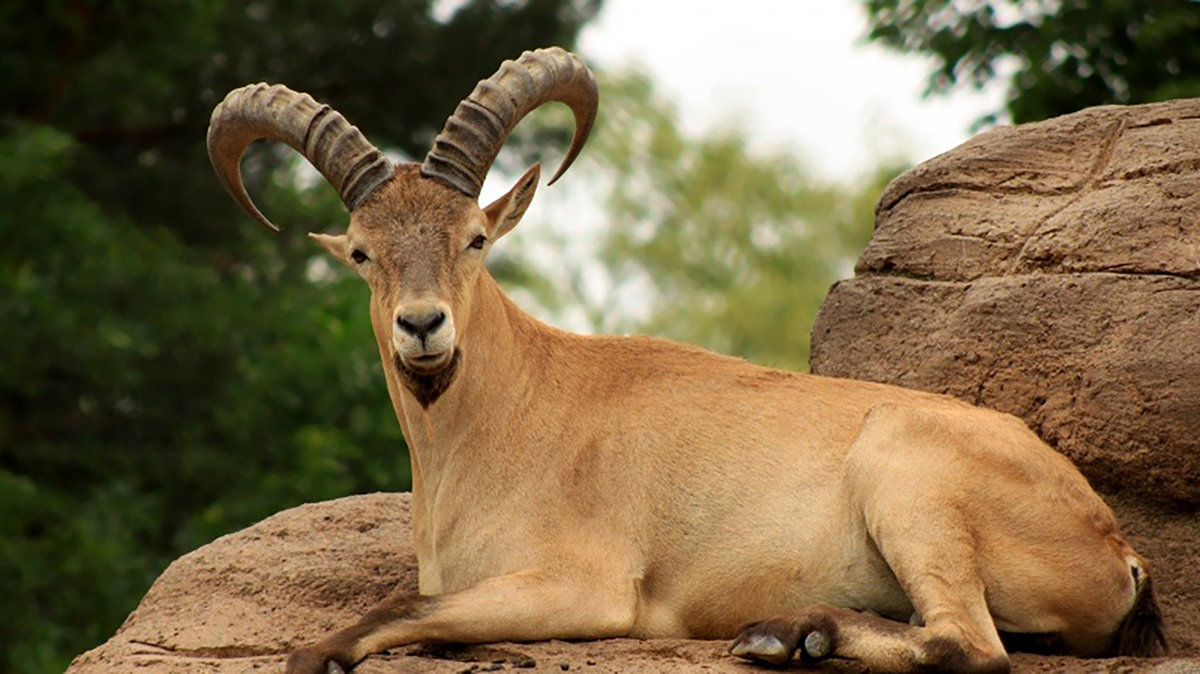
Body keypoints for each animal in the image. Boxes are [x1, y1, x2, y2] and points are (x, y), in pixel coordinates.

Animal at [206, 47, 1161, 671]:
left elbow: (396, 609)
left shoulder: (585, 588)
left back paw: (787, 634)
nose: (422, 327)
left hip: (910, 477)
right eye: (363, 253)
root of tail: (1116, 549)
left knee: (972, 645)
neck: (505, 419)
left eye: (475, 238)